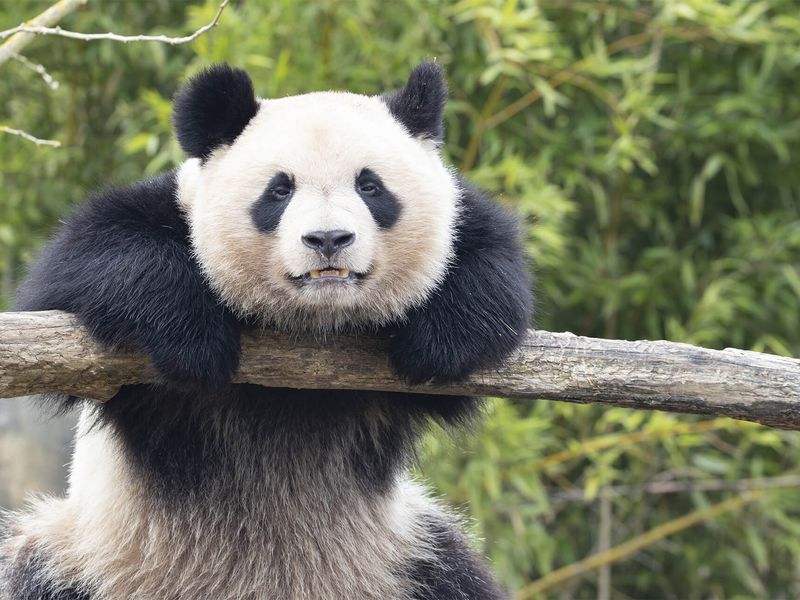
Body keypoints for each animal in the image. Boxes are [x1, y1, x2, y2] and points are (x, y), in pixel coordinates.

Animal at [3, 62, 536, 600]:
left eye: (370, 186)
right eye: (279, 191)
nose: (328, 239)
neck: (313, 320)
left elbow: (489, 268)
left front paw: (438, 342)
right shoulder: (157, 219)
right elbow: (81, 266)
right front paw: (195, 341)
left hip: (405, 558)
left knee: (455, 576)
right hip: (90, 555)